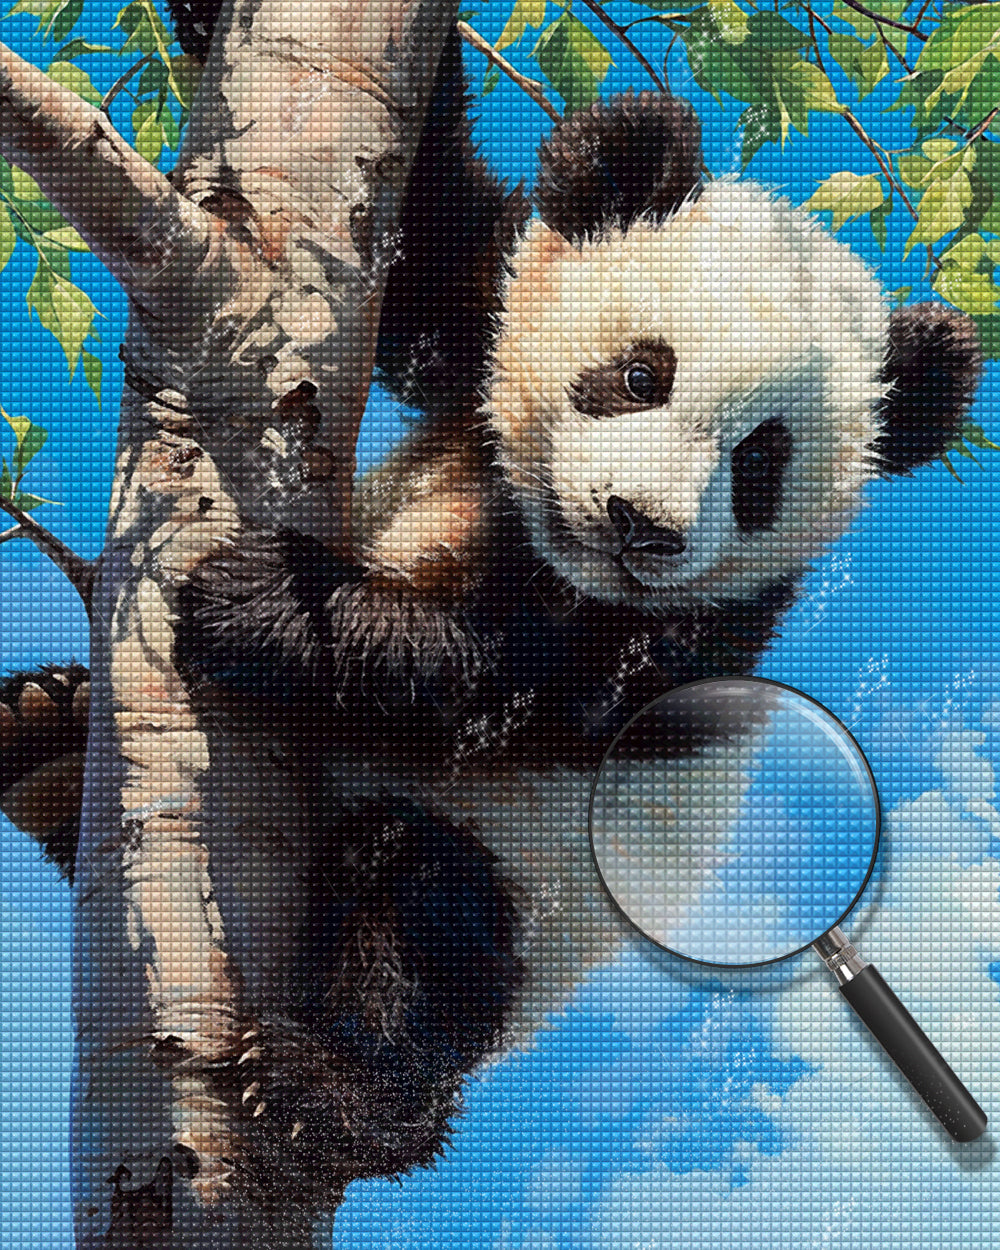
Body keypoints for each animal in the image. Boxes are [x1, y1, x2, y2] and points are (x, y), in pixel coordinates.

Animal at [1, 17, 983, 1192]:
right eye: (640, 374)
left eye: (760, 463)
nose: (639, 525)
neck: (532, 529)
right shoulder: (484, 320)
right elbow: (426, 253)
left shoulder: (695, 629)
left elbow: (507, 690)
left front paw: (264, 600)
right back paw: (42, 733)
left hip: (530, 907)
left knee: (416, 914)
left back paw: (331, 1091)